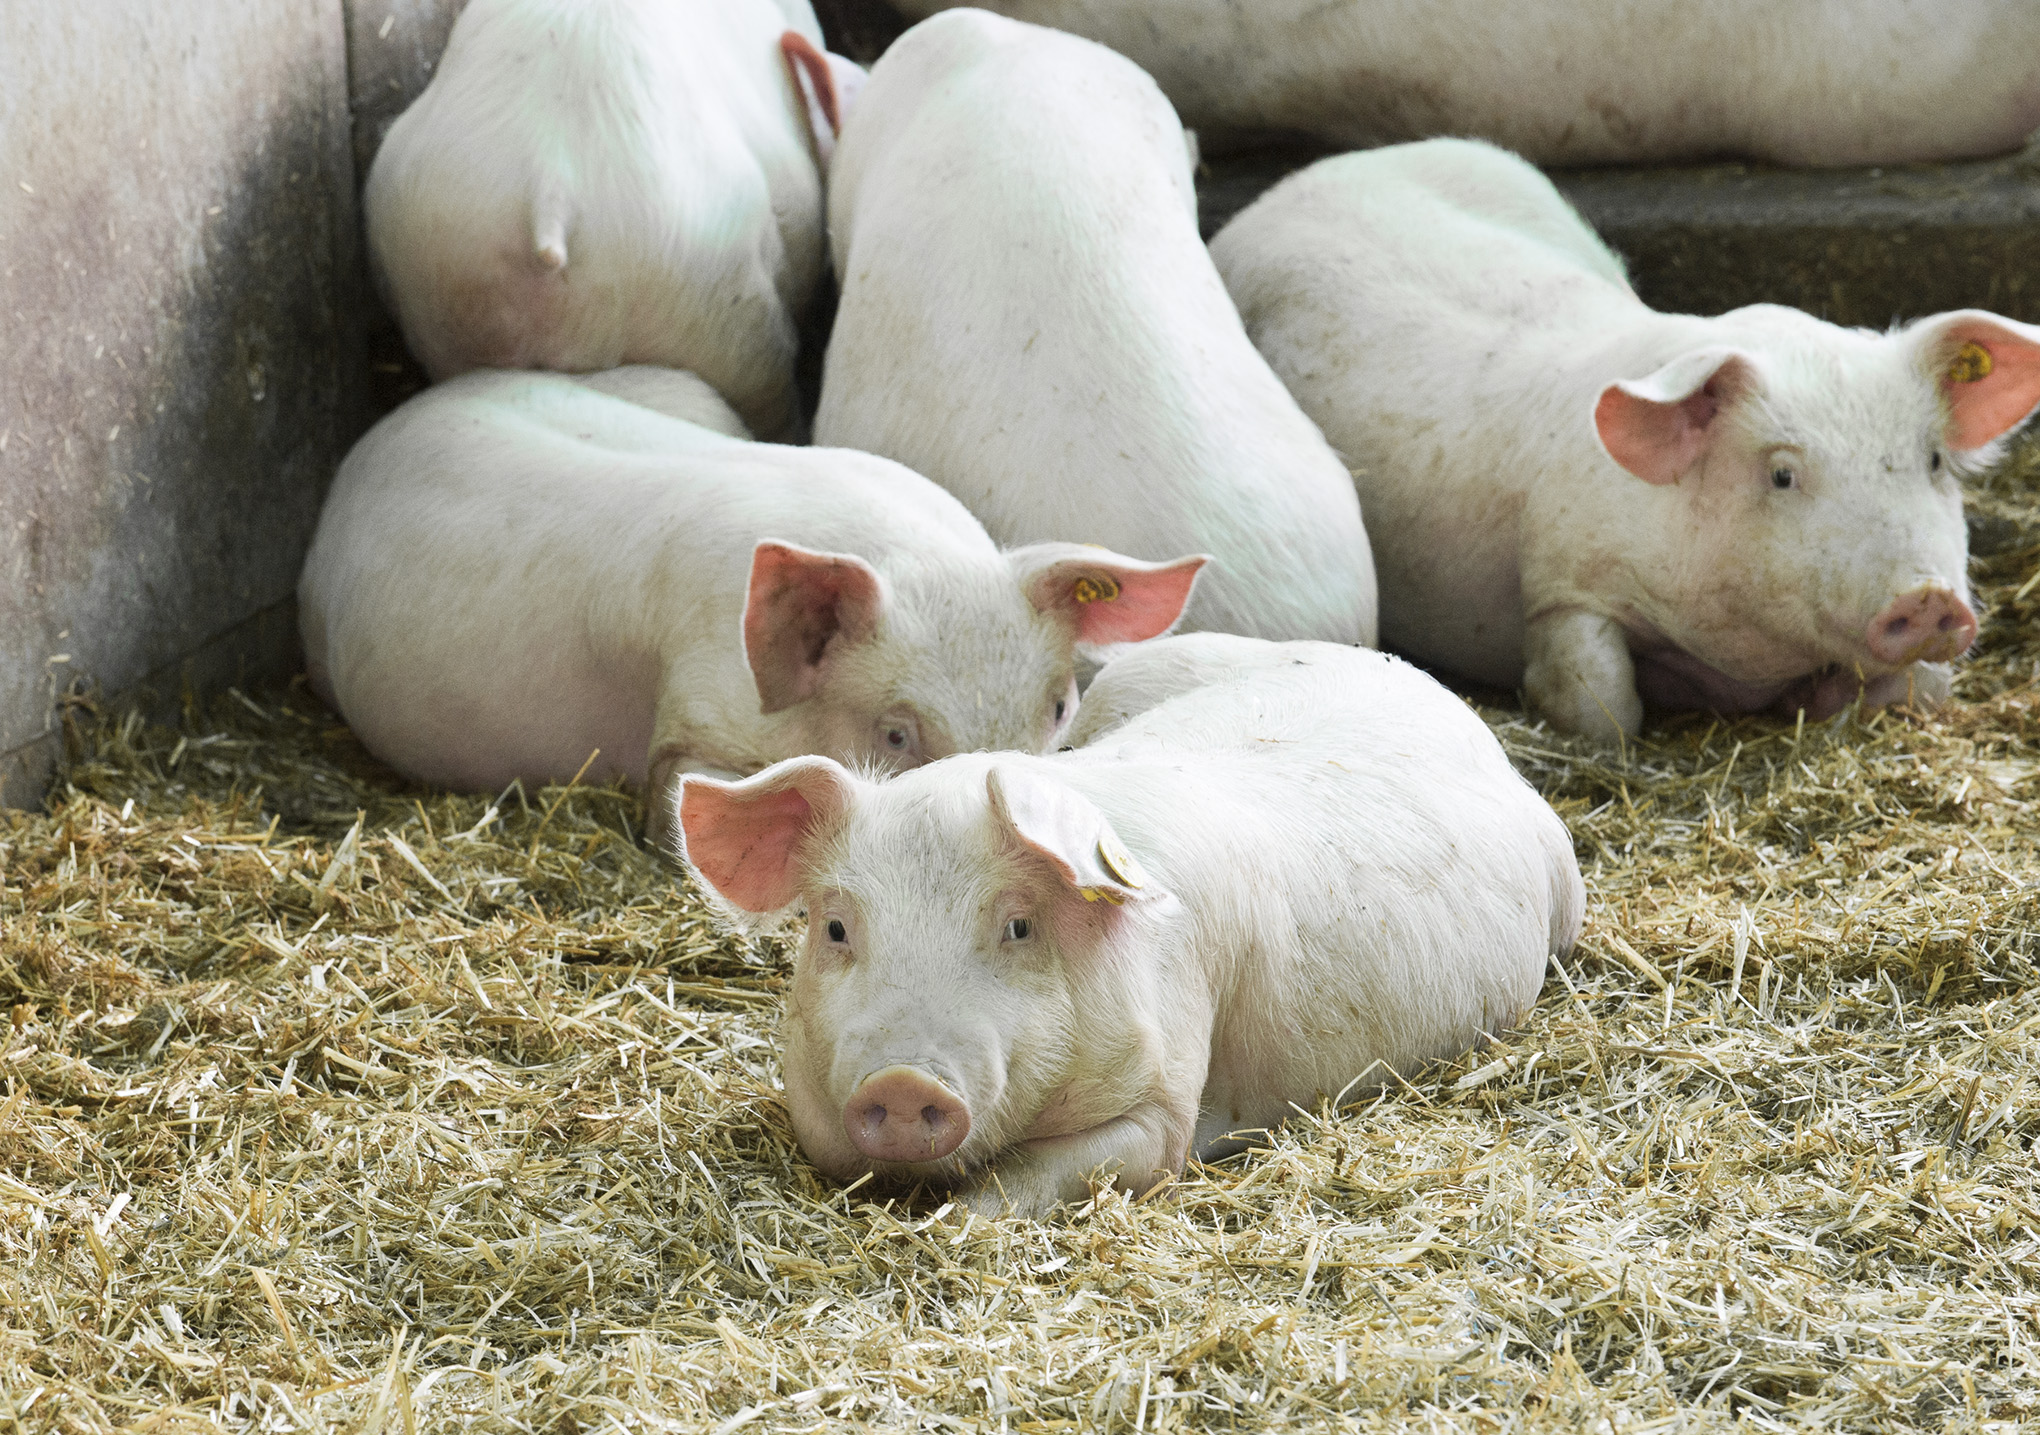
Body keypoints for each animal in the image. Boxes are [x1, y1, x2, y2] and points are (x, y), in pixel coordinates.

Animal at [1207, 140, 2040, 747]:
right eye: (1782, 474)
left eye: (1933, 461)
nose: (1928, 598)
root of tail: (1309, 175)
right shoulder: (1560, 582)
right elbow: (1603, 704)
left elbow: (1924, 688)